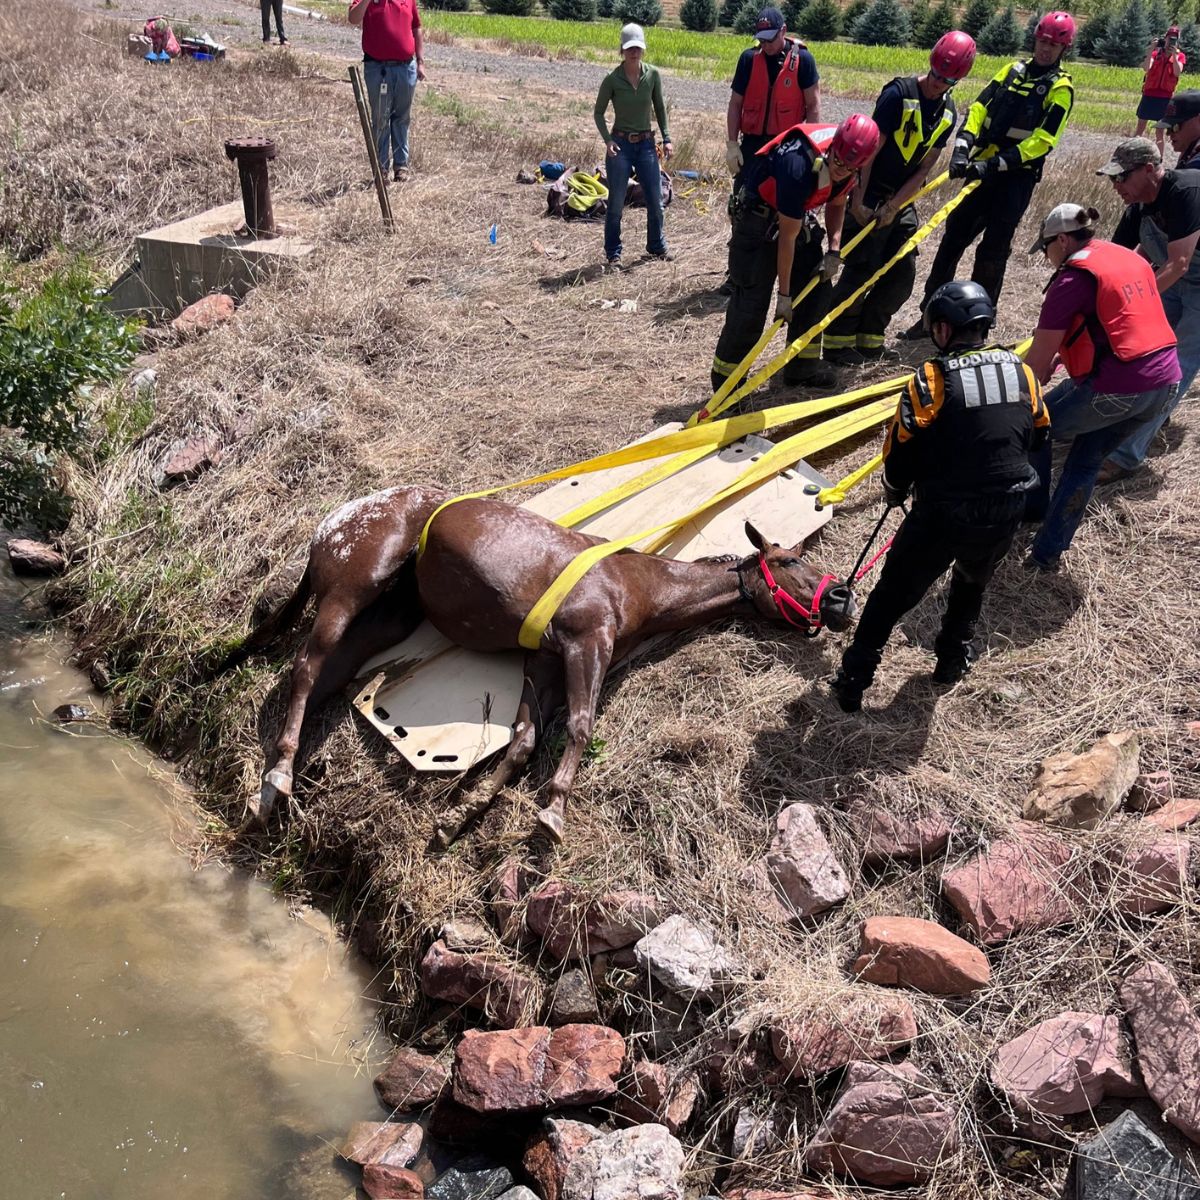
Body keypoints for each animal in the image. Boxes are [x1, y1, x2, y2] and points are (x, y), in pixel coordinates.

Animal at [220, 482, 859, 840]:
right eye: (792, 559)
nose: (842, 598)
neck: (633, 583)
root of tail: (334, 524)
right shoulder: (585, 644)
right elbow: (579, 726)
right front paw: (552, 810)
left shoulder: (545, 662)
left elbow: (525, 739)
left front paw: (463, 814)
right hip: (351, 590)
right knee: (306, 668)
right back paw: (276, 778)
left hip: (386, 618)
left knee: (322, 680)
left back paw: (285, 770)